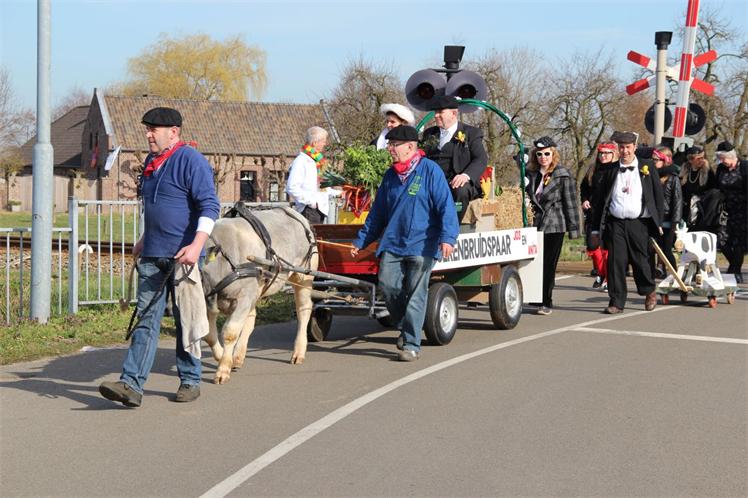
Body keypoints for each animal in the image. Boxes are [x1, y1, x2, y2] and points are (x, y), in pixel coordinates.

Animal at [201, 206, 318, 384]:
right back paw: (238, 357)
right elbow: (208, 335)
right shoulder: (210, 301)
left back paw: (298, 352)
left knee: (304, 309)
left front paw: (223, 370)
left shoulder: (243, 297)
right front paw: (223, 358)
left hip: (303, 277)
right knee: (251, 318)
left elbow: (230, 332)